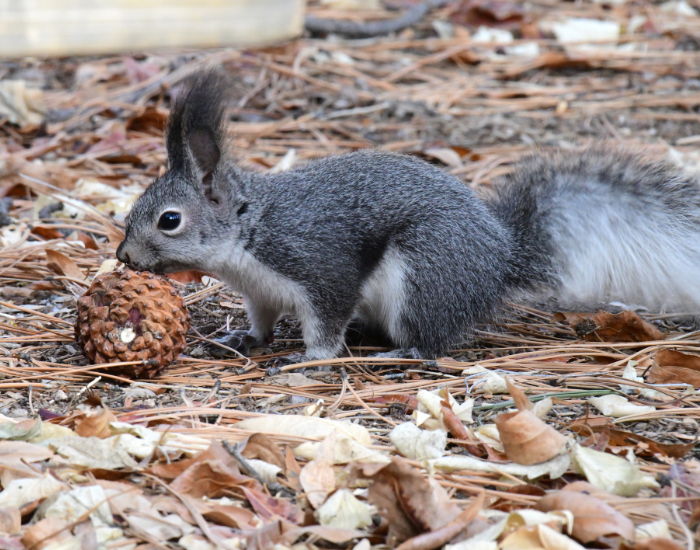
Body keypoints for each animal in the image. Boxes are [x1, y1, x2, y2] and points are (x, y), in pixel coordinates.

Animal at [117, 71, 700, 361]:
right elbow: (261, 319)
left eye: (169, 220)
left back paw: (395, 354)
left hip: (424, 273)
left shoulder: (317, 266)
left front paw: (308, 358)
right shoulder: (259, 290)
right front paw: (246, 339)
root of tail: (501, 256)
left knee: (428, 345)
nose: (123, 257)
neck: (250, 232)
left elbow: (326, 322)